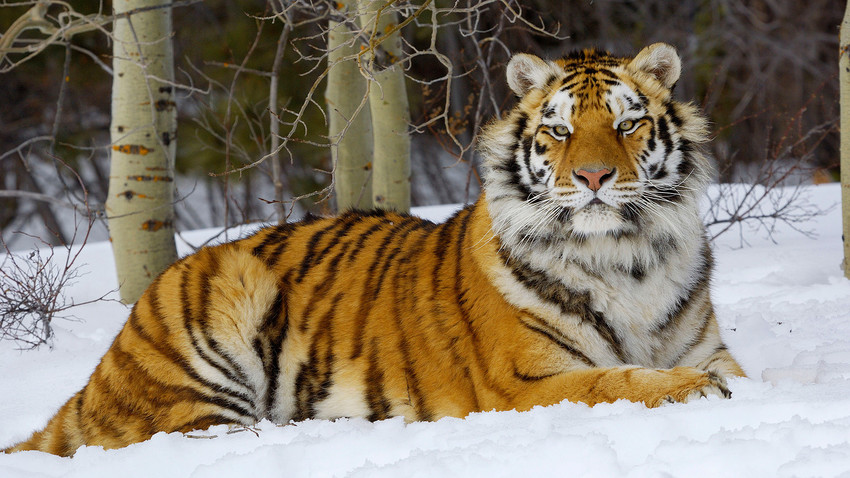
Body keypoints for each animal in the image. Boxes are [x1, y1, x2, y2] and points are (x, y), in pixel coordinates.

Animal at [1, 43, 744, 458]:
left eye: (628, 123)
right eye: (559, 130)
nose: (592, 178)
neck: (626, 254)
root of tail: (93, 381)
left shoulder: (703, 341)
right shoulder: (528, 382)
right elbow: (616, 381)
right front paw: (694, 391)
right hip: (216, 330)